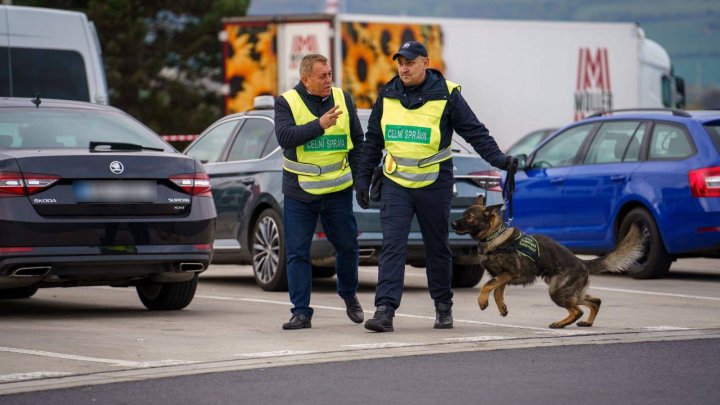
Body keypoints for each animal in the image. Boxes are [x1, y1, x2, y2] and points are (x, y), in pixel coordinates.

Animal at [452, 196, 644, 328]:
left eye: (469, 217)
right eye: (463, 215)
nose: (452, 224)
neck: (494, 236)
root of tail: (582, 262)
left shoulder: (508, 274)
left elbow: (488, 286)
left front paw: (482, 301)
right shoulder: (504, 277)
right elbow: (497, 292)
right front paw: (502, 308)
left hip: (557, 291)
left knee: (578, 310)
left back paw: (560, 324)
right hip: (569, 291)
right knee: (595, 301)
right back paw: (587, 323)